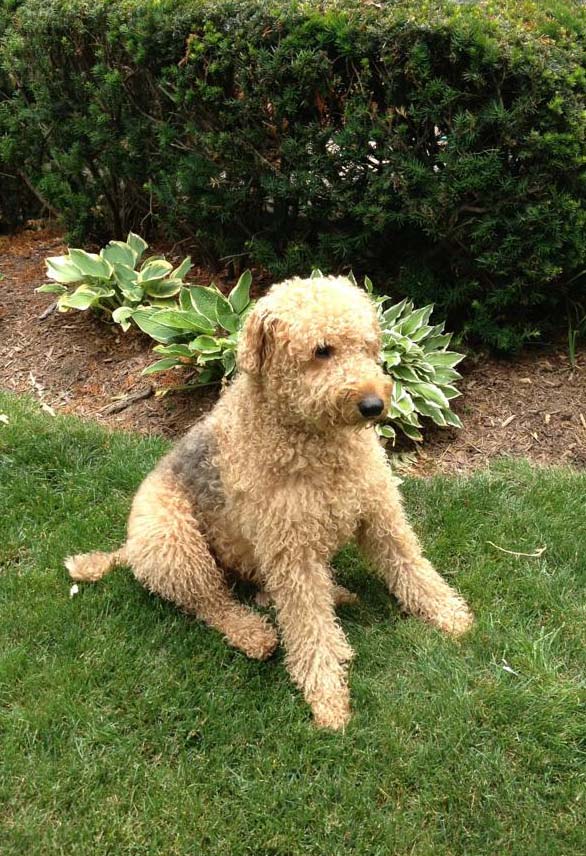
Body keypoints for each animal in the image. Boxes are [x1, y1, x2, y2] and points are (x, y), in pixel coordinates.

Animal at [66, 276, 472, 728]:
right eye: (321, 350)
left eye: (367, 345)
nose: (374, 405)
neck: (316, 444)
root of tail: (127, 549)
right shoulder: (291, 552)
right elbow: (310, 629)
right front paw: (328, 699)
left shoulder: (380, 516)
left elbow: (413, 569)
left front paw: (452, 616)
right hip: (176, 541)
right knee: (214, 604)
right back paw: (256, 635)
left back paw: (335, 594)